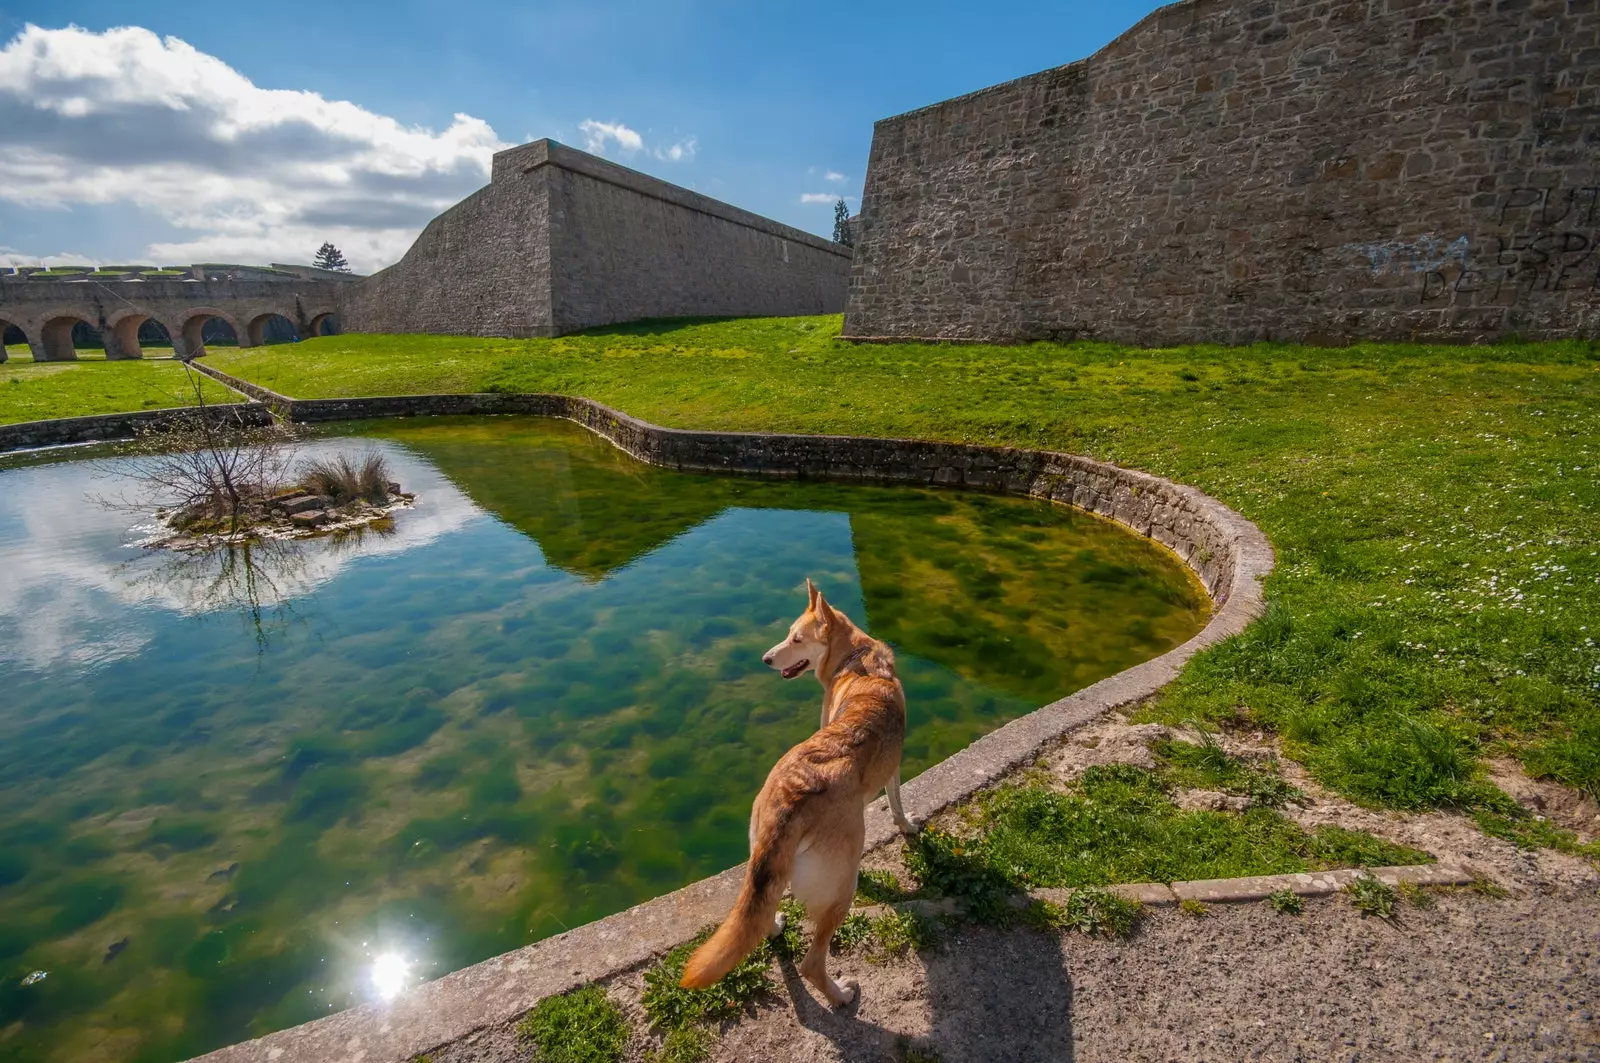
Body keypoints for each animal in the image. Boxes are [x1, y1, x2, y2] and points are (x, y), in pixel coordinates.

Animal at [681, 582, 921, 1005]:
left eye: (795, 638)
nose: (765, 658)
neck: (857, 662)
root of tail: (790, 797)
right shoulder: (894, 767)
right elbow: (896, 803)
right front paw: (906, 825)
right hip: (842, 886)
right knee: (812, 963)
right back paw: (840, 995)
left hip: (765, 858)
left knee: (760, 916)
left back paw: (774, 926)